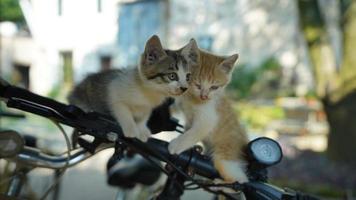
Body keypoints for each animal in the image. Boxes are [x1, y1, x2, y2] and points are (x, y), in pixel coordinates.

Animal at [68, 36, 199, 142]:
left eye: (188, 77)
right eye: (172, 76)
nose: (184, 88)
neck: (149, 92)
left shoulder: (147, 107)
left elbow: (144, 116)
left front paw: (142, 129)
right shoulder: (114, 91)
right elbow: (123, 111)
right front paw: (131, 129)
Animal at [168, 49, 249, 184]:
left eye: (214, 87)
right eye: (197, 85)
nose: (204, 96)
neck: (192, 99)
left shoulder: (207, 120)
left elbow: (192, 134)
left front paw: (176, 145)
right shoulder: (187, 114)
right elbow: (187, 128)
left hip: (225, 158)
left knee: (242, 179)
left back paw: (219, 182)